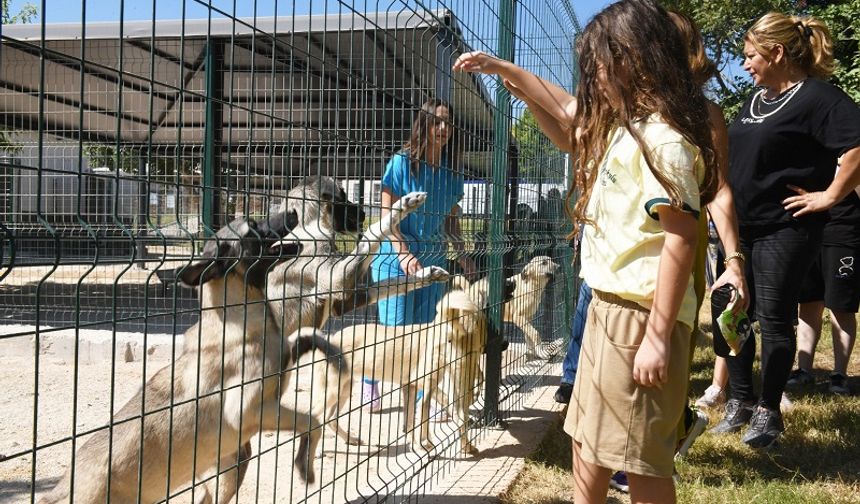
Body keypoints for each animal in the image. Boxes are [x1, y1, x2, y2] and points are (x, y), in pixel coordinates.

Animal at [39, 218, 342, 504]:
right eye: (253, 227)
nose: (292, 212)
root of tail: (57, 493)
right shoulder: (247, 410)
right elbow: (312, 421)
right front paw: (304, 464)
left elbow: (304, 337)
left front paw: (332, 352)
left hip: (232, 466)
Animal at [318, 288, 490, 456]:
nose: (487, 348)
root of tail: (331, 338)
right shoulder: (425, 385)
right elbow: (423, 416)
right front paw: (422, 445)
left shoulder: (410, 387)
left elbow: (411, 422)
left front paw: (418, 445)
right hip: (332, 391)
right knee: (318, 418)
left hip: (344, 390)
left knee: (329, 419)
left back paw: (351, 439)